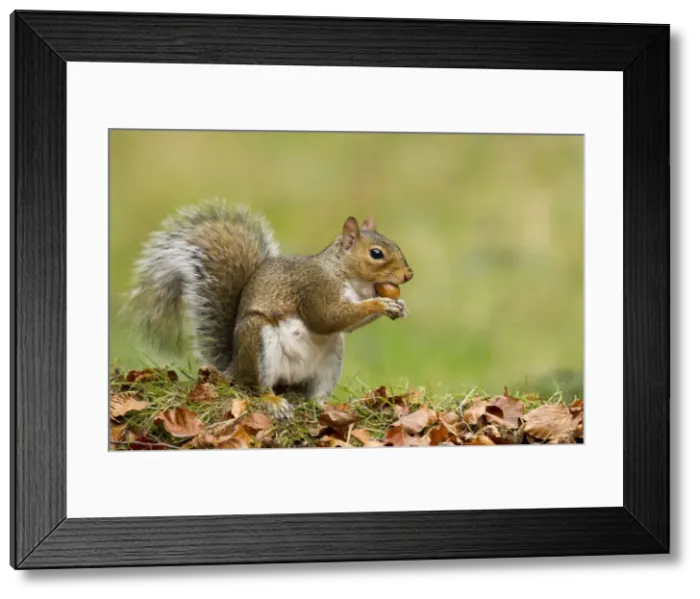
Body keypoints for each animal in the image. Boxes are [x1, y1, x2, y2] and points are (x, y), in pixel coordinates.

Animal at [121, 198, 414, 418]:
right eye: (376, 254)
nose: (409, 274)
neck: (344, 274)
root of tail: (235, 367)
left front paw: (399, 305)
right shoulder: (315, 288)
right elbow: (327, 318)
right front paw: (380, 303)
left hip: (331, 359)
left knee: (314, 393)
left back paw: (324, 404)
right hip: (260, 343)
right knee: (257, 387)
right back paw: (274, 402)